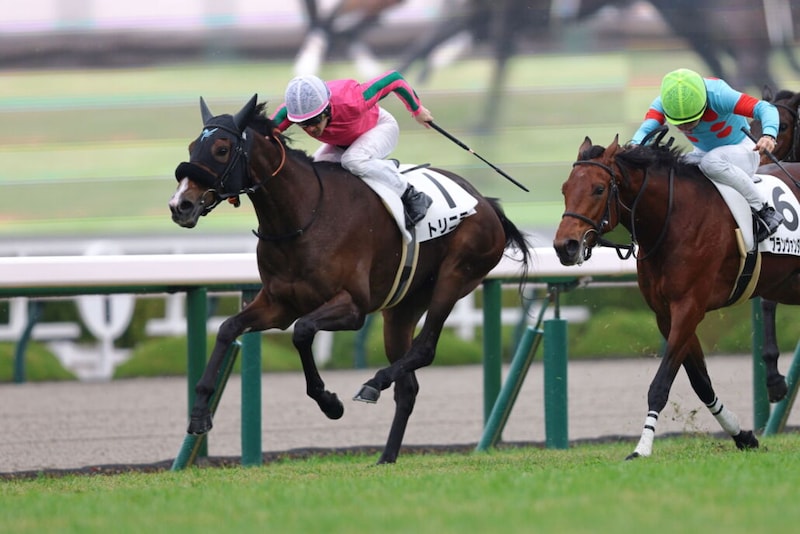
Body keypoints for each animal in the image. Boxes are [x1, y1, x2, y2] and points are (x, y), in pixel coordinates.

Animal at [168, 95, 531, 464]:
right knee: (408, 387)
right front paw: (199, 415)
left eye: (221, 149)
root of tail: (487, 203)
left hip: (455, 276)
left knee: (425, 348)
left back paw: (374, 384)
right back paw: (386, 456)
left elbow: (302, 332)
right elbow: (228, 329)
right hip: (403, 307)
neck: (303, 216)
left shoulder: (352, 307)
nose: (180, 205)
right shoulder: (278, 304)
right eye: (192, 146)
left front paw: (330, 403)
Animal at [552, 134, 800, 459]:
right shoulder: (666, 314)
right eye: (565, 189)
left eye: (599, 188)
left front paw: (642, 447)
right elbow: (701, 382)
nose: (564, 246)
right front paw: (743, 435)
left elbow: (660, 384)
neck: (673, 219)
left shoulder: (689, 307)